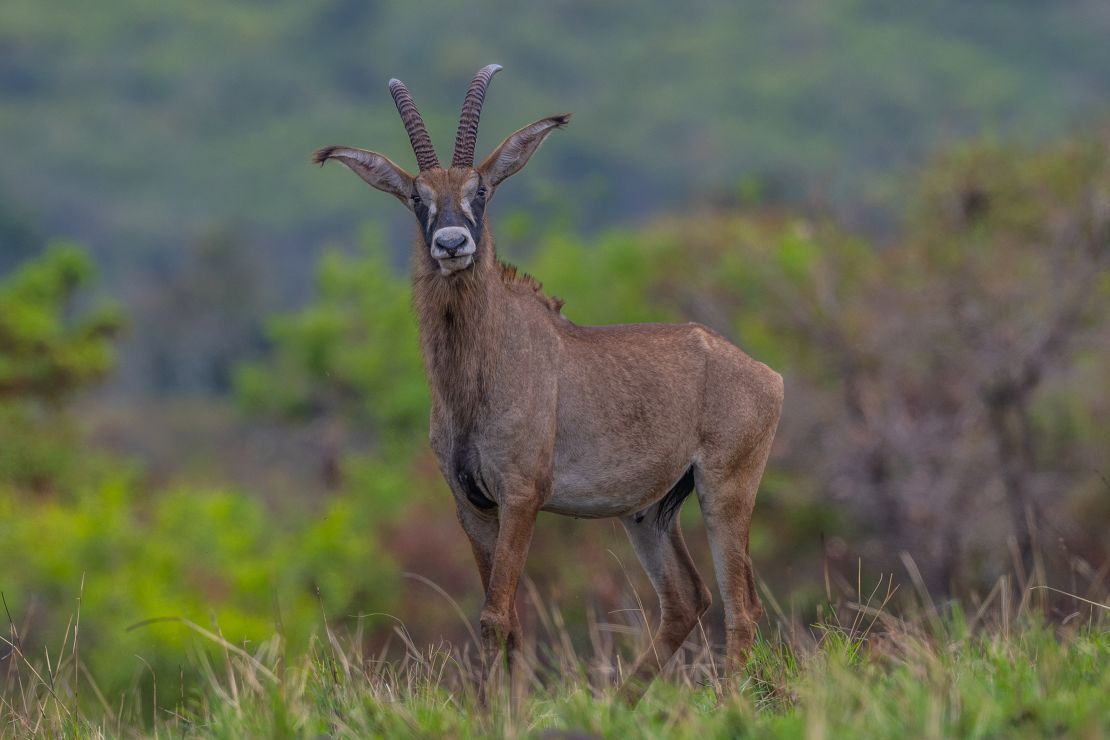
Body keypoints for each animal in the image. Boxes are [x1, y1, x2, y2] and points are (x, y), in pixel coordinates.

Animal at [308, 65, 785, 705]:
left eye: (481, 191)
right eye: (416, 197)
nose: (452, 243)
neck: (478, 374)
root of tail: (765, 375)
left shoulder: (521, 496)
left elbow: (495, 614)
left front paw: (494, 712)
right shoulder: (471, 505)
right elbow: (505, 615)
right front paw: (504, 706)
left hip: (726, 489)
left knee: (741, 605)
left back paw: (727, 702)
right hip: (649, 512)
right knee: (688, 599)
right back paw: (620, 705)